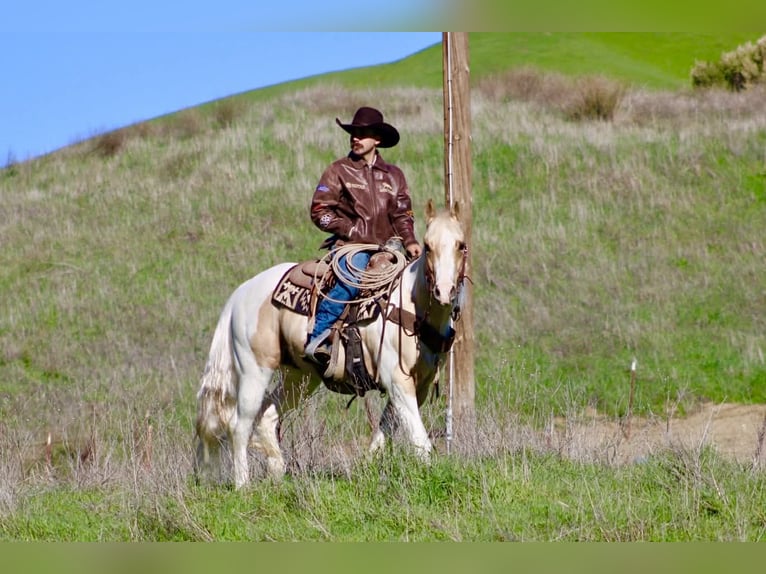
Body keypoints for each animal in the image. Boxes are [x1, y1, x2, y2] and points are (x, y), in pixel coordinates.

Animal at [194, 199, 468, 488]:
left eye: (461, 245)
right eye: (428, 246)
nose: (444, 291)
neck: (410, 306)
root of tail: (241, 292)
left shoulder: (420, 385)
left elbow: (385, 431)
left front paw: (369, 467)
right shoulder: (396, 379)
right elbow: (418, 439)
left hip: (300, 377)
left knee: (268, 416)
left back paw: (277, 474)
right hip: (254, 370)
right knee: (240, 424)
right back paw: (243, 486)